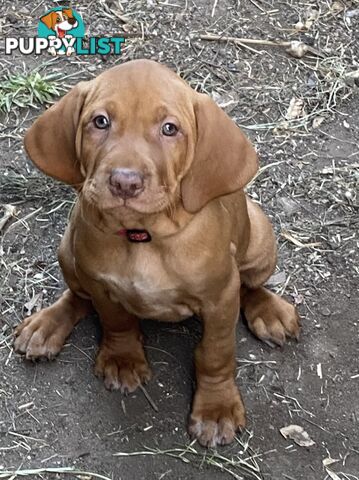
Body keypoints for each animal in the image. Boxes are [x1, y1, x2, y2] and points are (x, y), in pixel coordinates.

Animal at [14, 61, 300, 450]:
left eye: (169, 129)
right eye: (100, 121)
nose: (125, 182)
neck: (143, 237)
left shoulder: (220, 296)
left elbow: (216, 351)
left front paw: (216, 408)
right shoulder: (101, 285)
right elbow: (117, 321)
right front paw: (123, 359)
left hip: (260, 238)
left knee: (250, 285)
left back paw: (269, 311)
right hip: (68, 248)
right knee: (77, 294)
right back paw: (46, 326)